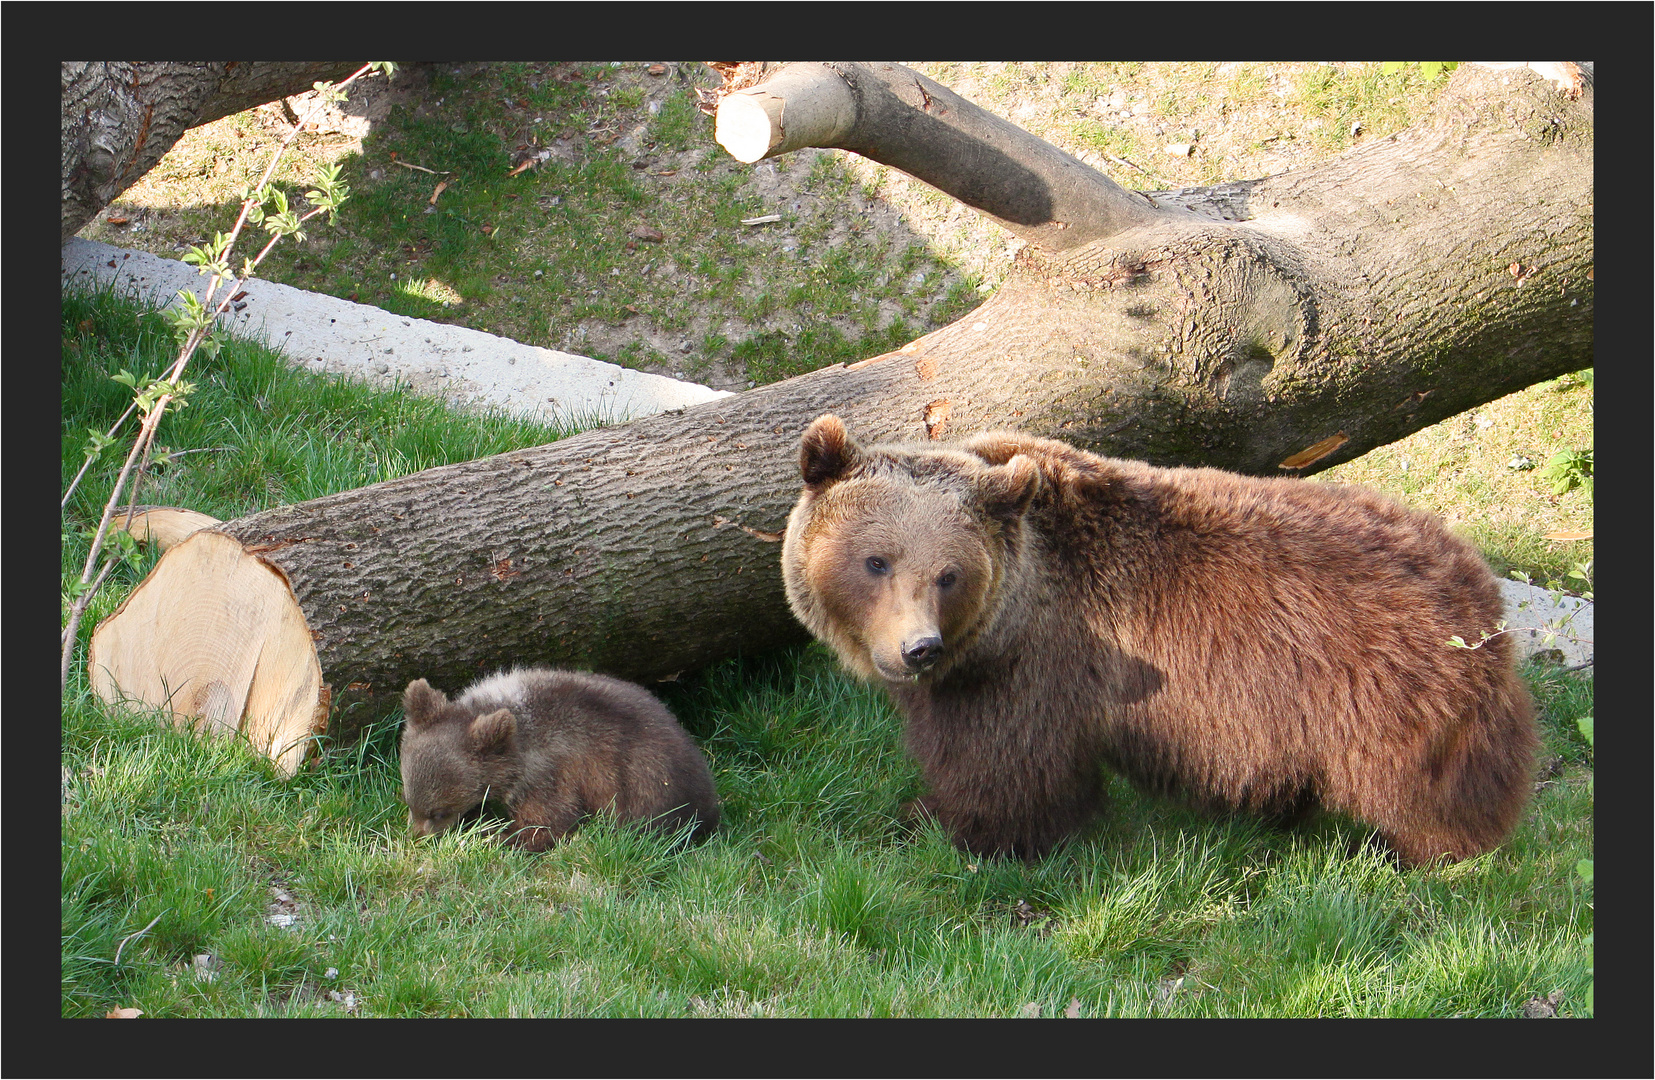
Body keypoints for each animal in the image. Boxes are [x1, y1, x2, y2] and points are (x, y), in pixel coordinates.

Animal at [781, 415, 1529, 866]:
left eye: (949, 573)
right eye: (876, 561)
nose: (919, 648)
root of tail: (1480, 593)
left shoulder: (1032, 667)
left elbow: (1002, 768)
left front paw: (942, 824)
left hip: (1384, 692)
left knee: (1428, 791)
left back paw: (1433, 851)